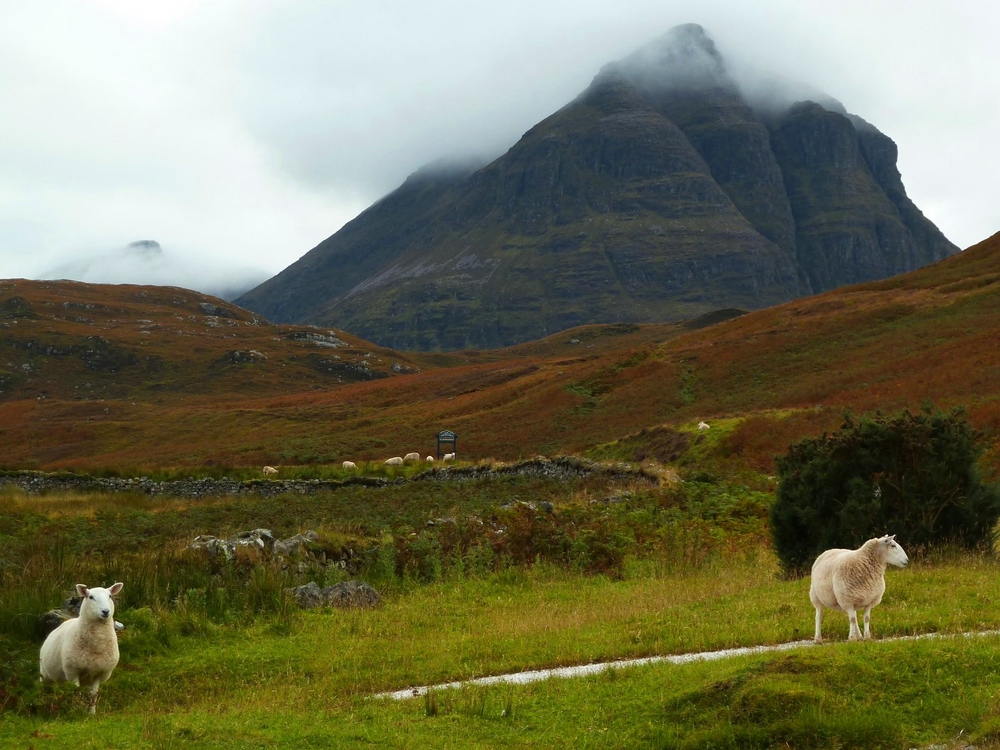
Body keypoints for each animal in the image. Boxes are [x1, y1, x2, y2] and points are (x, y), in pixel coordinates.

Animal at [40, 580, 125, 716]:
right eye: (91, 597)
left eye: (110, 596)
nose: (106, 611)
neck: (97, 645)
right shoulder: (73, 671)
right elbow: (76, 691)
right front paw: (76, 711)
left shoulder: (99, 672)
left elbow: (93, 694)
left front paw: (91, 713)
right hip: (44, 673)